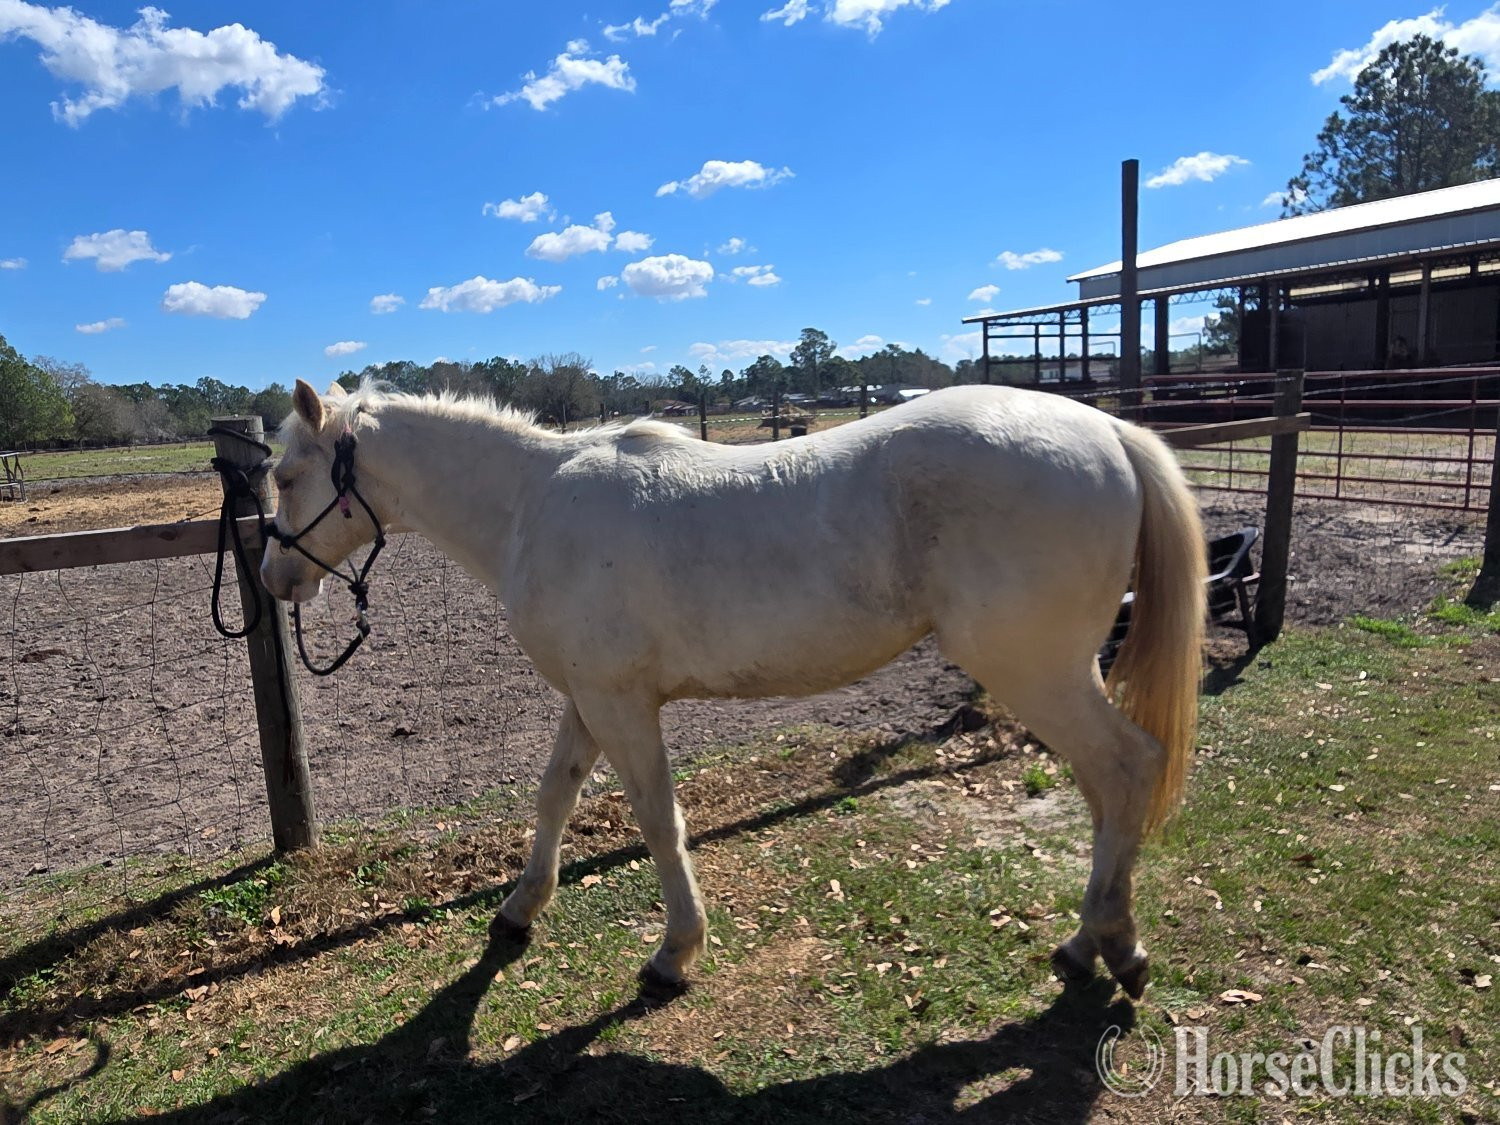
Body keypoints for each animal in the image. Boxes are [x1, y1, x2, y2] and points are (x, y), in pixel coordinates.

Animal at [262, 378, 1205, 999]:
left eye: (283, 475)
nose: (273, 578)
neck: (534, 504)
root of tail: (1107, 431)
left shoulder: (622, 703)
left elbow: (656, 819)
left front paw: (674, 953)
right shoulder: (589, 696)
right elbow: (554, 794)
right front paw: (519, 909)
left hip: (1034, 669)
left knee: (1126, 767)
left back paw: (1112, 942)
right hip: (1058, 672)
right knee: (1108, 783)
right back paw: (1092, 940)